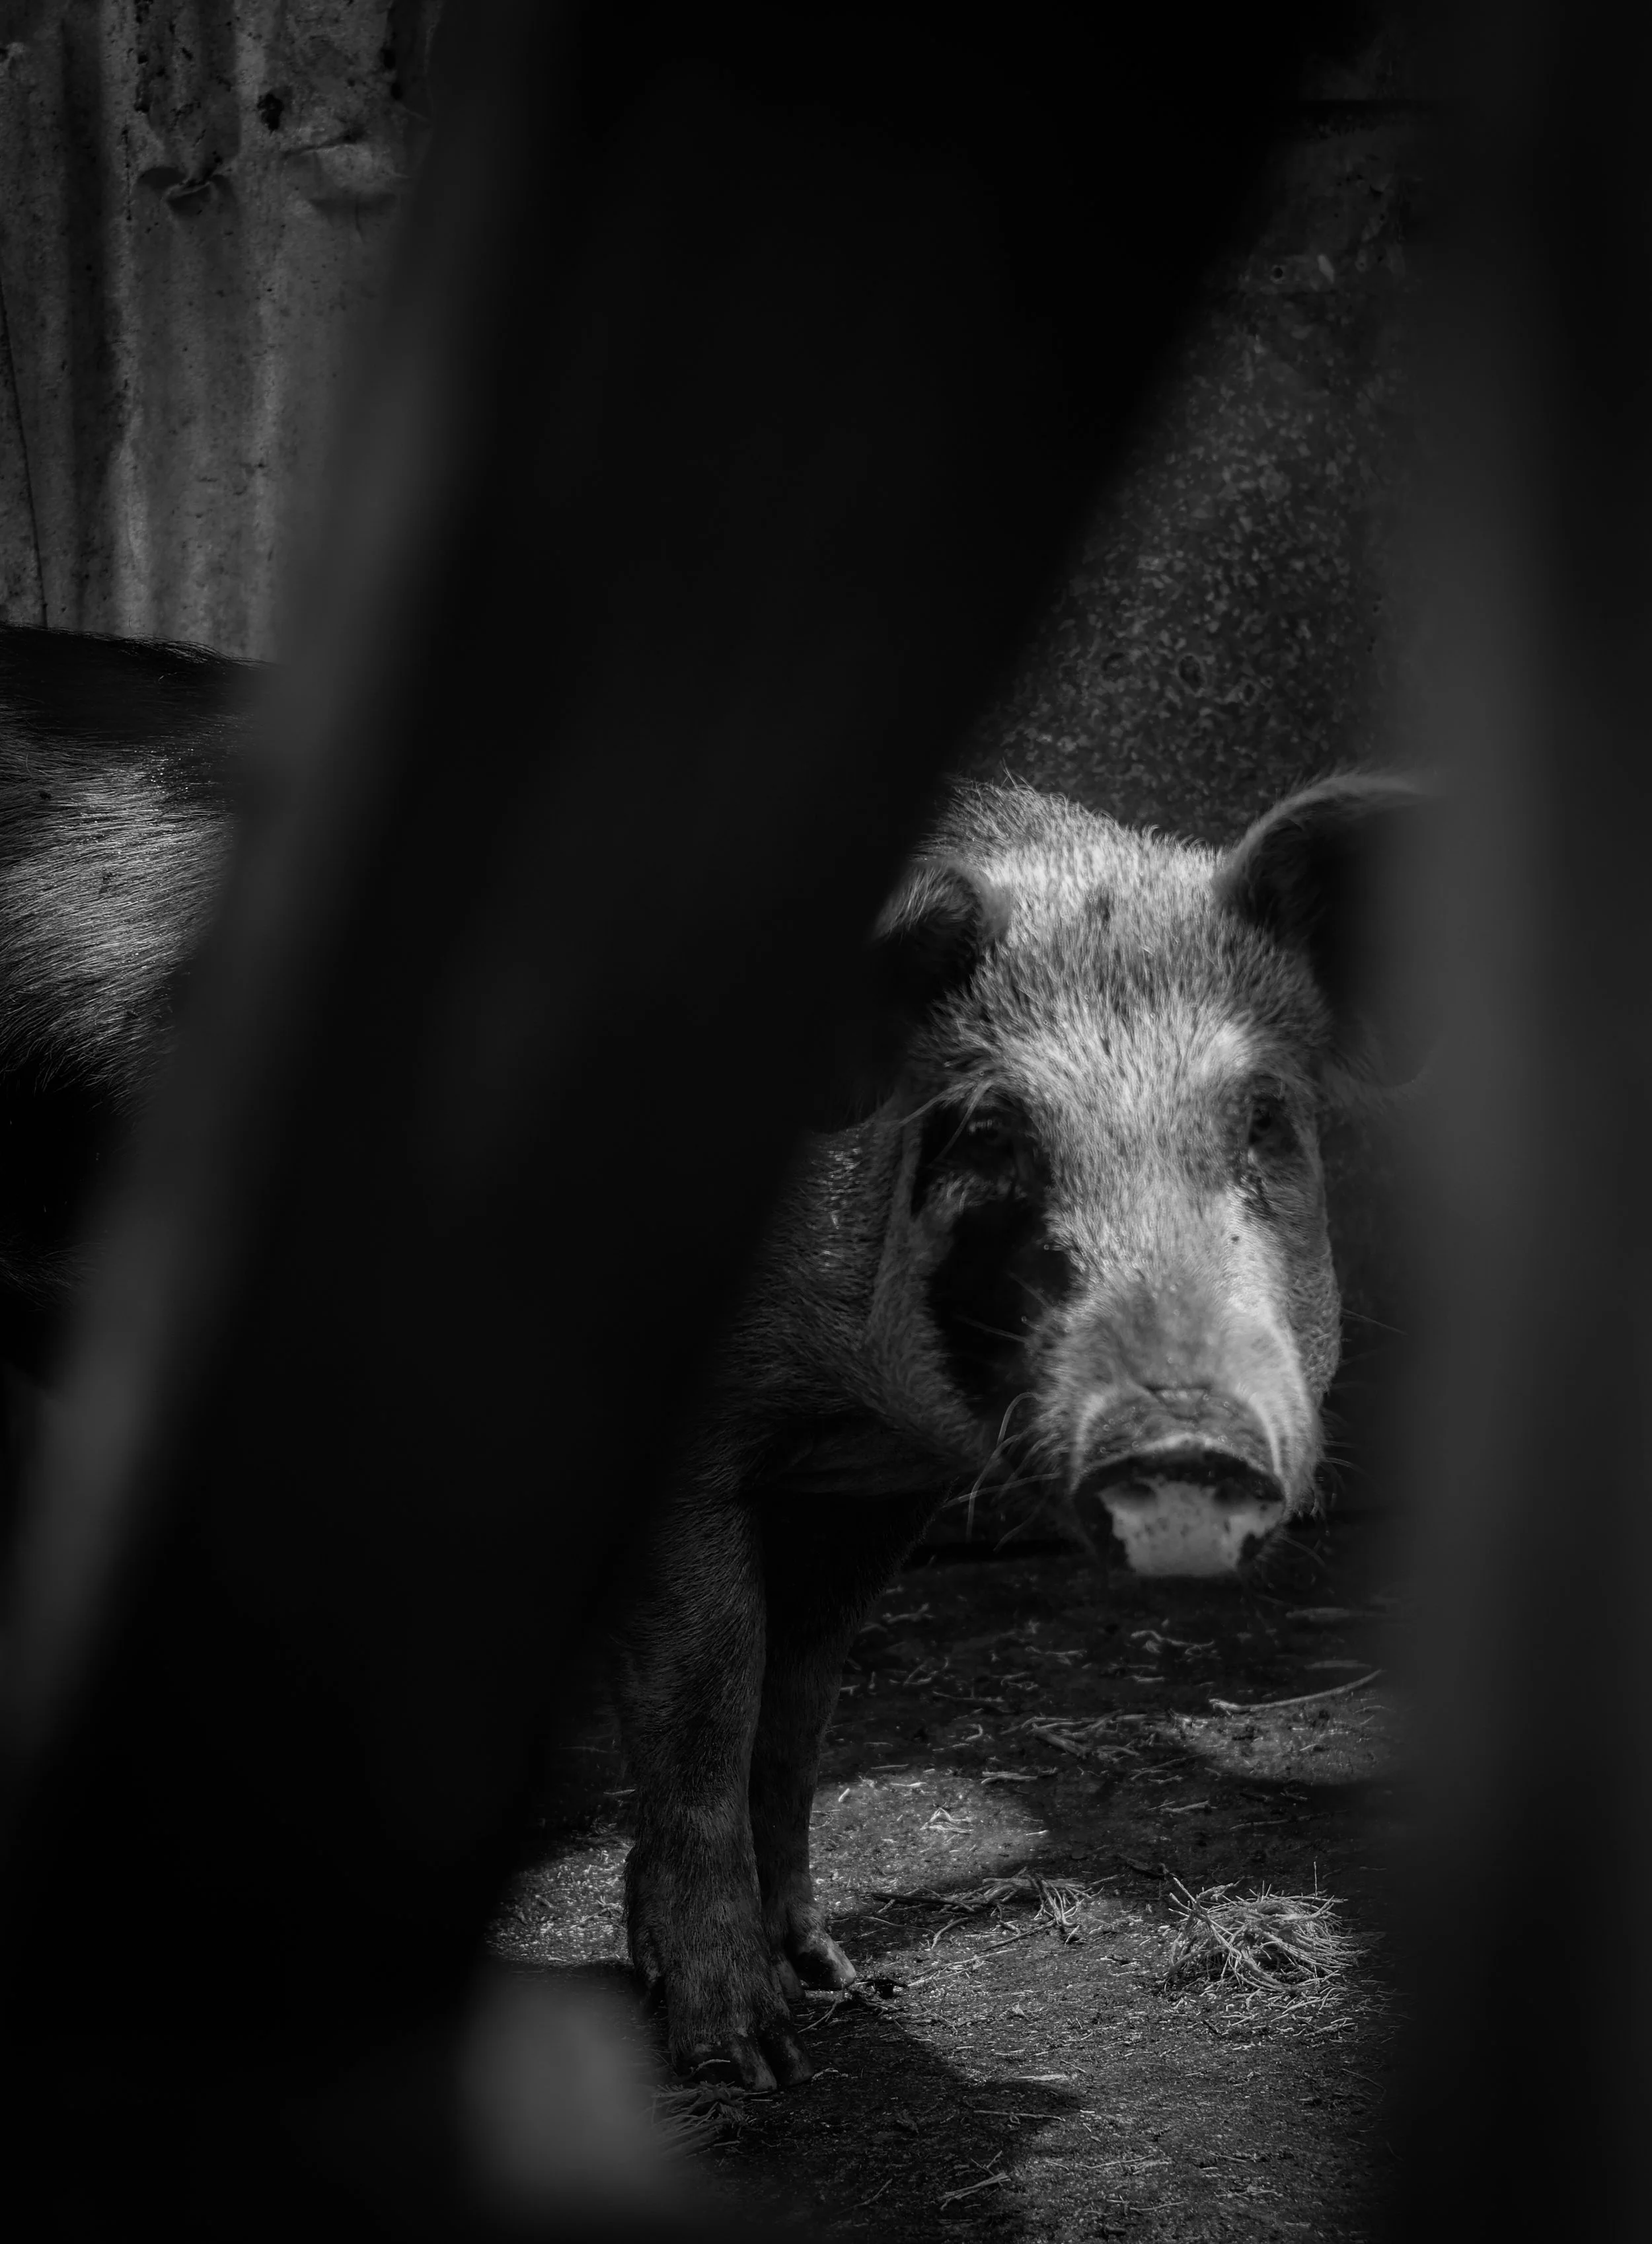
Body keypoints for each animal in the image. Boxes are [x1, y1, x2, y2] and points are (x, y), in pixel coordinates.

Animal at [617, 772, 1424, 2090]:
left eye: (1265, 1119)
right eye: (993, 1130)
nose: (1184, 1441)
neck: (850, 1409)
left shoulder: (864, 1496)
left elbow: (798, 1712)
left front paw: (844, 1978)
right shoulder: (688, 1445)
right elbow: (708, 1705)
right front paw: (748, 2061)